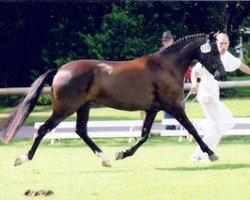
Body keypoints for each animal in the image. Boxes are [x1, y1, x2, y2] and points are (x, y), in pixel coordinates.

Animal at [0, 33, 227, 167]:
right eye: (215, 51)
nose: (222, 75)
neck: (166, 66)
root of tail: (60, 70)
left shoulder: (152, 110)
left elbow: (143, 136)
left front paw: (122, 153)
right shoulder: (174, 107)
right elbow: (193, 130)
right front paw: (211, 153)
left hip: (83, 107)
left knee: (81, 131)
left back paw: (106, 159)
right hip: (64, 109)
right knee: (43, 129)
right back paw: (23, 159)